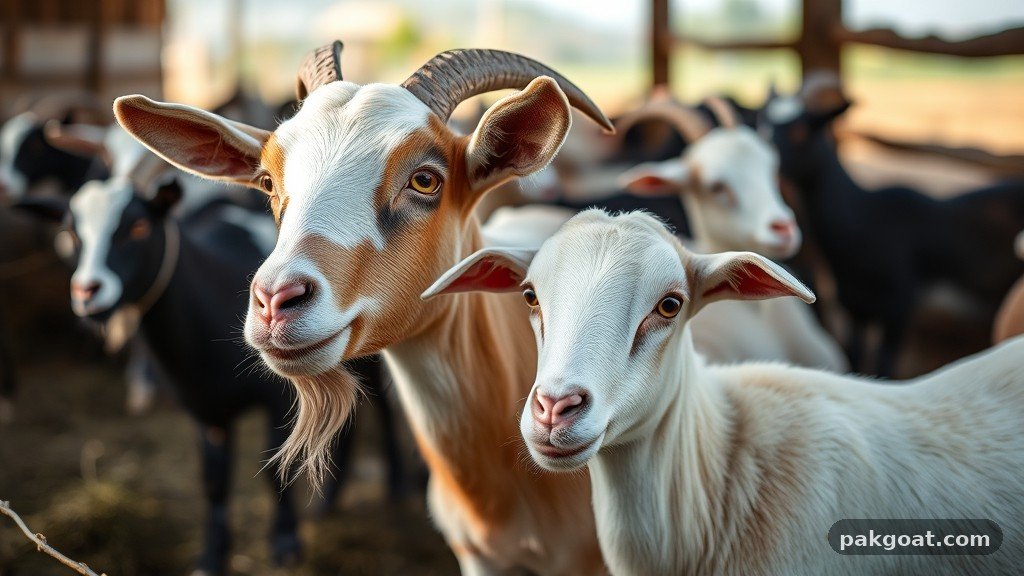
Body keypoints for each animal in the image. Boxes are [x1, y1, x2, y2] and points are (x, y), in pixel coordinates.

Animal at [16, 125, 404, 575]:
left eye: (139, 227)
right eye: (71, 233)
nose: (87, 292)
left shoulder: (277, 395)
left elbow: (276, 470)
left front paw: (285, 543)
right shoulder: (206, 410)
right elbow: (214, 482)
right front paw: (211, 557)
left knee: (381, 402)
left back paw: (396, 487)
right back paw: (329, 502)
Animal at [762, 76, 1024, 376]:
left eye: (801, 132)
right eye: (763, 124)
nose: (768, 169)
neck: (864, 218)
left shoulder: (899, 307)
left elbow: (885, 363)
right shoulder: (854, 307)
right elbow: (855, 355)